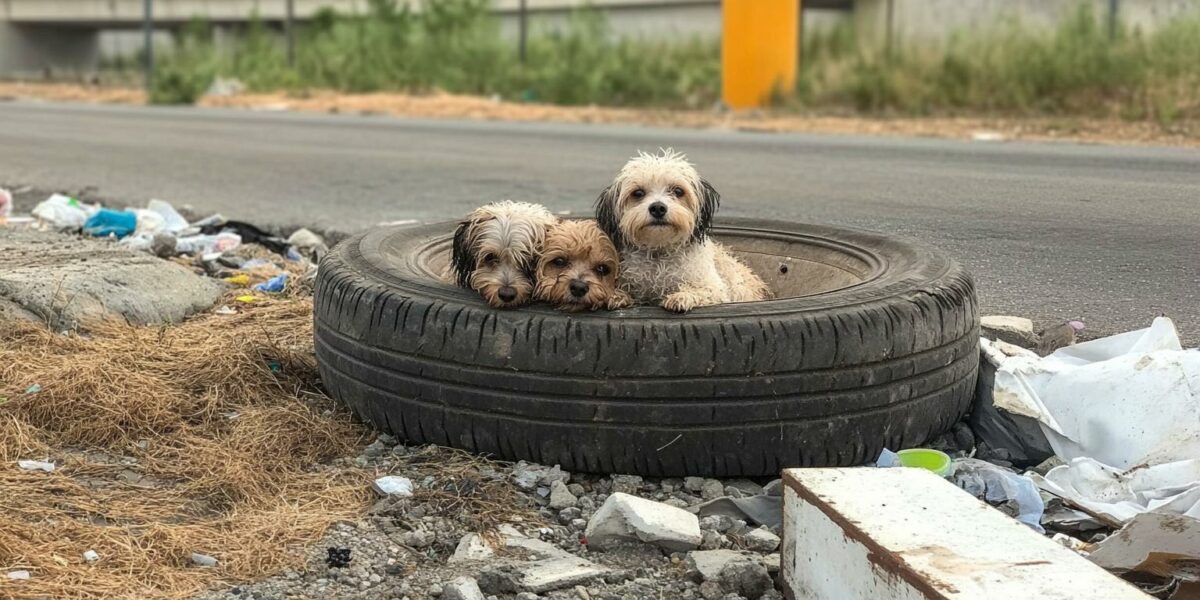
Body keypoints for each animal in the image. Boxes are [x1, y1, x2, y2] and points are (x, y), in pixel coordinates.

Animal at [592, 148, 768, 314]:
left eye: (678, 191)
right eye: (638, 193)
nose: (658, 208)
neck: (659, 253)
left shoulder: (715, 290)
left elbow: (702, 291)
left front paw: (682, 297)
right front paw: (616, 295)